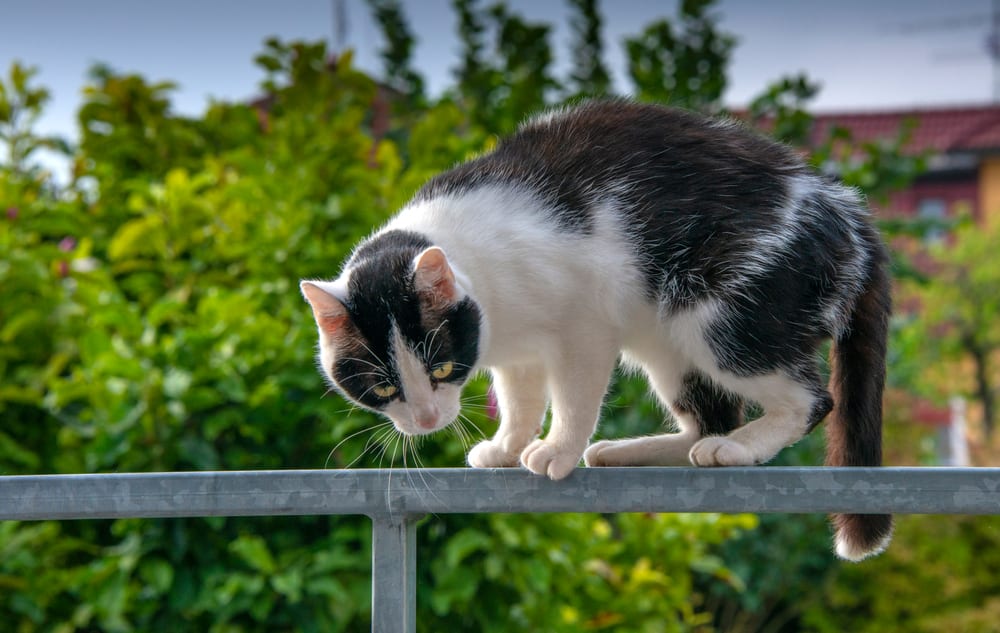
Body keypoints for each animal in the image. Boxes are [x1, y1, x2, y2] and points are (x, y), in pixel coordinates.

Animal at [300, 97, 896, 556]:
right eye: (382, 388)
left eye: (441, 367)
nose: (425, 419)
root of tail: (845, 210)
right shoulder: (517, 354)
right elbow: (521, 400)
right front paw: (507, 445)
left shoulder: (585, 324)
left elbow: (574, 397)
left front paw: (556, 451)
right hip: (668, 344)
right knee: (712, 417)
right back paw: (639, 450)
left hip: (719, 317)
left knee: (810, 399)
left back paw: (739, 447)